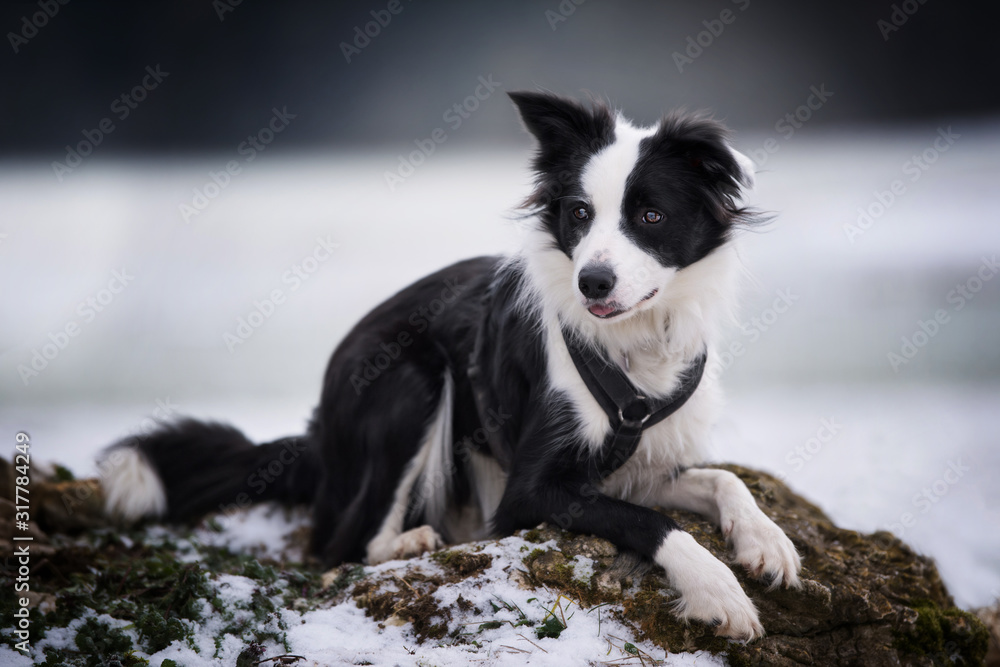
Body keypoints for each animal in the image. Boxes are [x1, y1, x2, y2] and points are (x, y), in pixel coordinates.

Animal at [101, 91, 800, 640]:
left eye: (651, 215)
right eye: (579, 214)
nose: (593, 283)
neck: (635, 344)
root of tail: (320, 437)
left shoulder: (640, 460)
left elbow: (721, 479)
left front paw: (766, 540)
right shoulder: (531, 491)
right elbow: (652, 523)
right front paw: (717, 590)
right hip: (408, 384)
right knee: (348, 542)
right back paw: (412, 539)